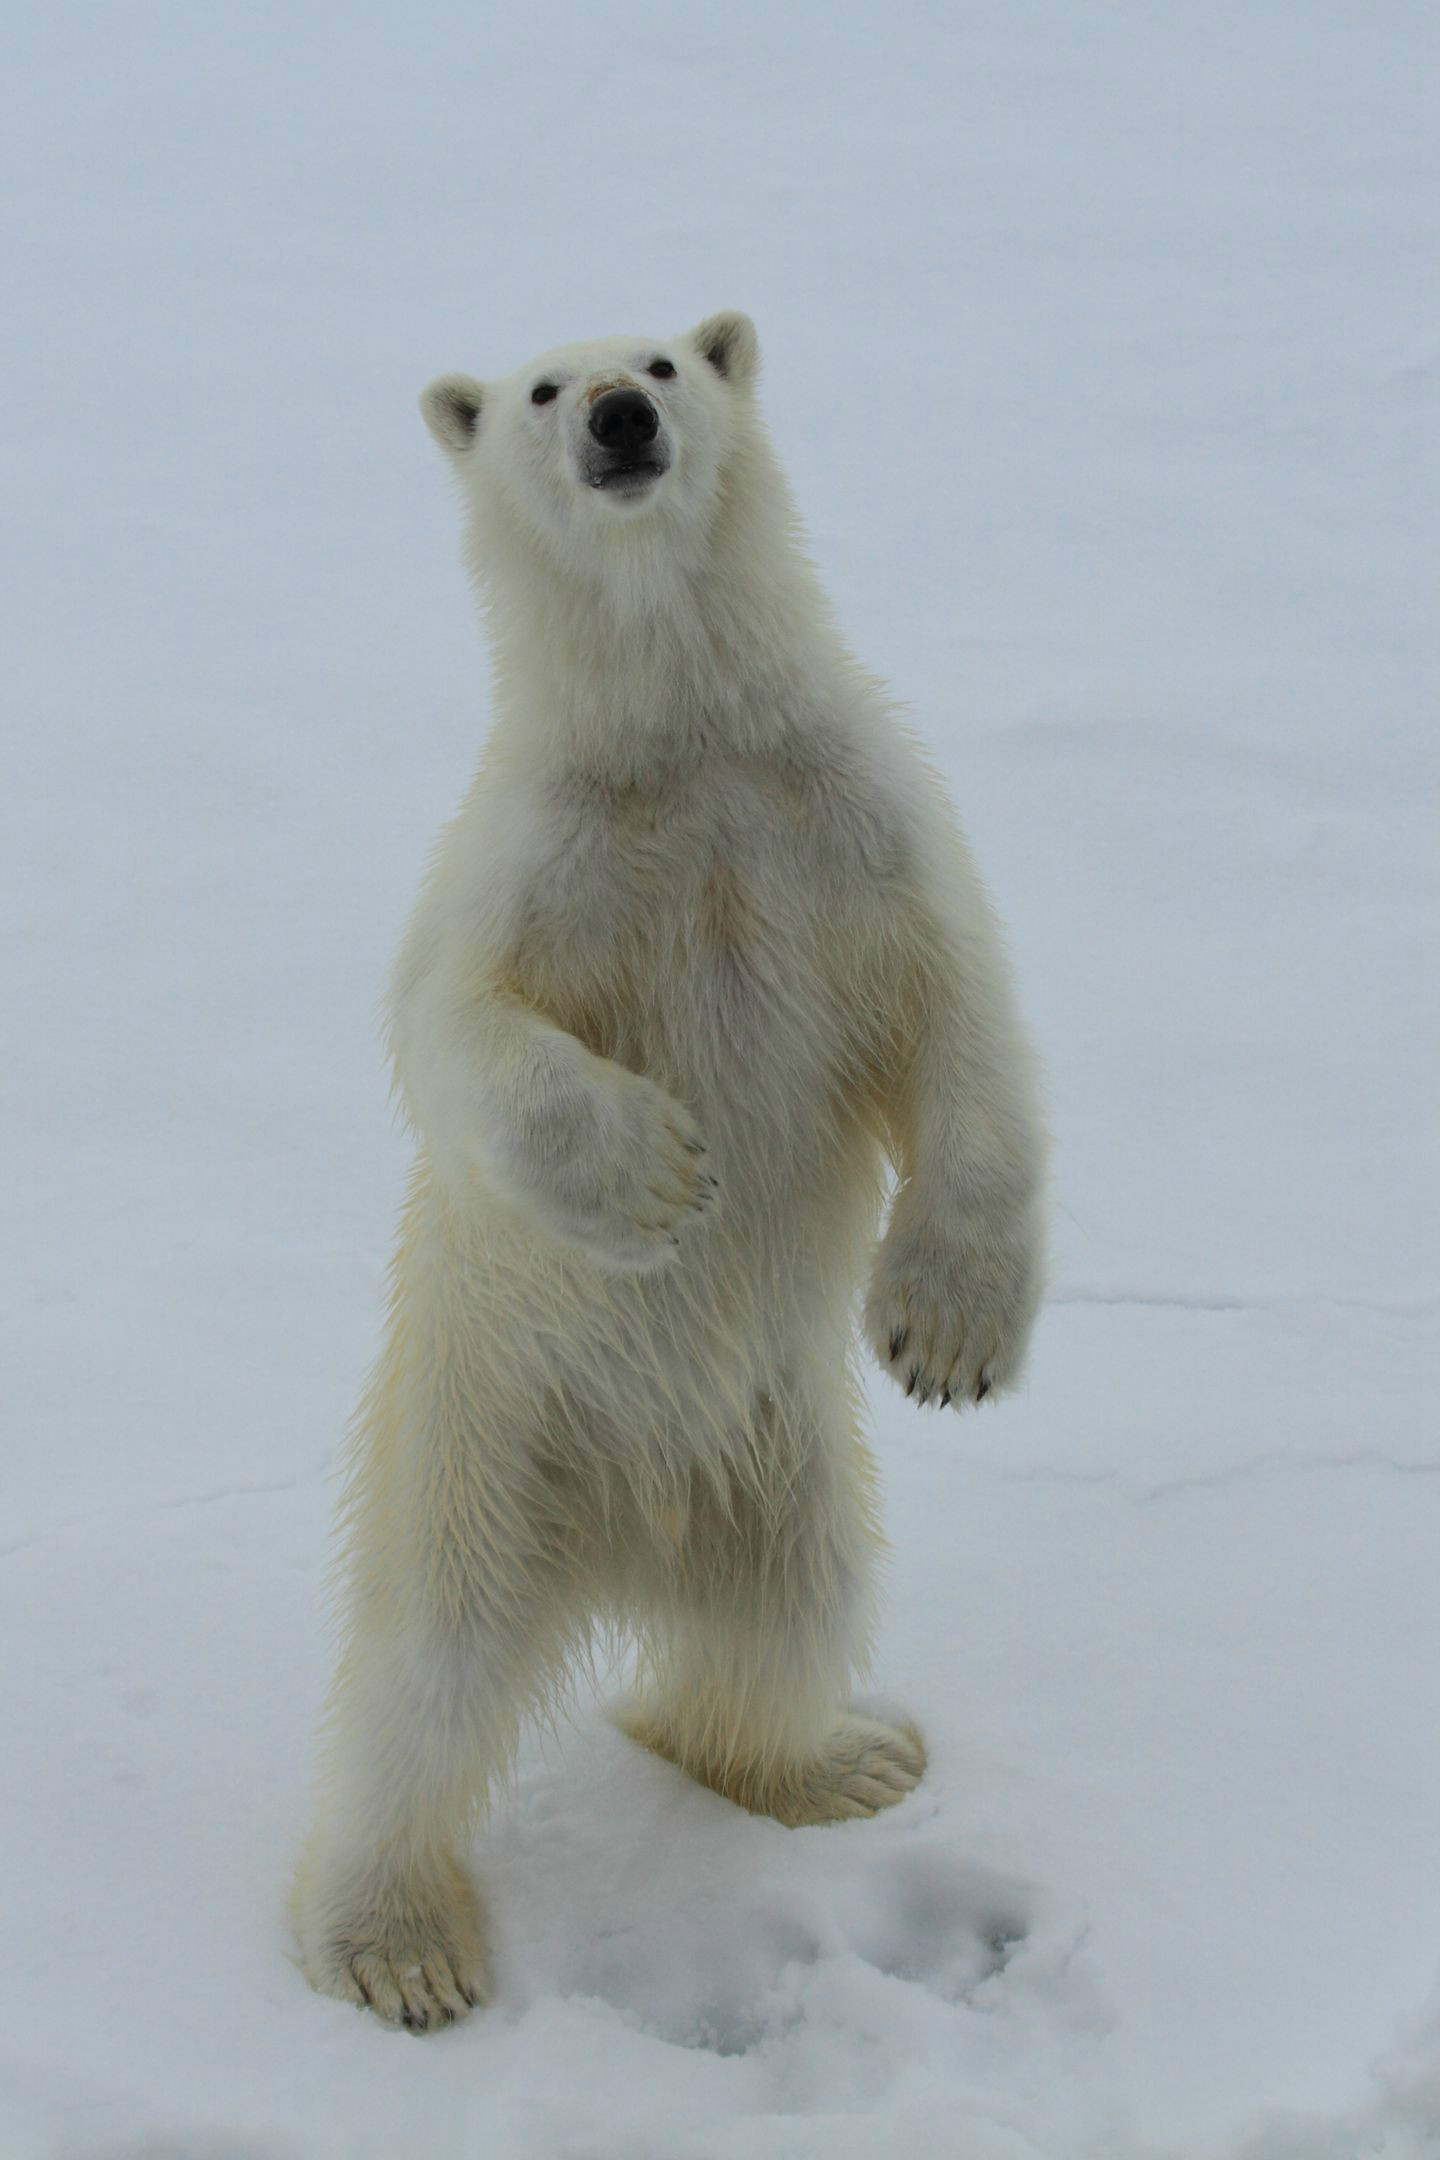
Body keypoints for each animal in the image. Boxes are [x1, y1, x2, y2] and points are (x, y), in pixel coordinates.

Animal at [293, 313, 1049, 2030]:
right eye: (537, 389)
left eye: (659, 359)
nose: (620, 420)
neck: (687, 739)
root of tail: (625, 1548)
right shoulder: (530, 853)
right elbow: (460, 1030)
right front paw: (658, 1177)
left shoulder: (853, 808)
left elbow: (963, 1016)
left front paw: (948, 1334)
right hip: (481, 1446)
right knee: (421, 1682)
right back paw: (395, 1943)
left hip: (782, 1461)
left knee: (794, 1615)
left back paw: (838, 1758)